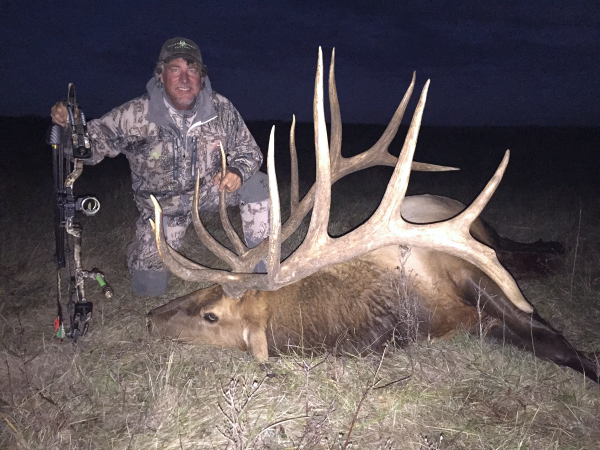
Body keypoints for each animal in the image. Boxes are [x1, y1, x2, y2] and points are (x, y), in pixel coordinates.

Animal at [146, 48, 600, 384]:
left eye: (211, 314)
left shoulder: (462, 267)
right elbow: (544, 343)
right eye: (204, 293)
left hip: (476, 230)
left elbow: (553, 338)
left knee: (508, 247)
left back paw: (554, 249)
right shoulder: (473, 323)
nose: (151, 317)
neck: (402, 313)